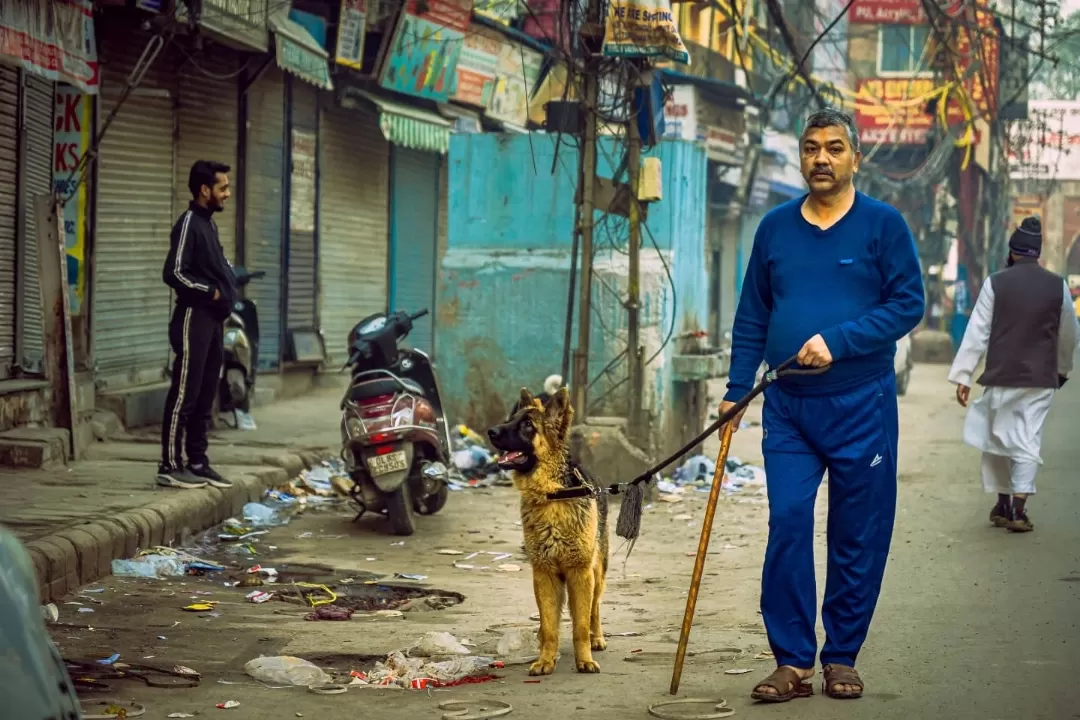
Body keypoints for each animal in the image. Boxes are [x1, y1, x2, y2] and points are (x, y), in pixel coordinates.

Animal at [488, 388, 609, 677]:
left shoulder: (580, 574)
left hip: (597, 574)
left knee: (595, 609)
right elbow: (550, 624)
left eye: (527, 425)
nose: (491, 431)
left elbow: (580, 626)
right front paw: (545, 659)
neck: (551, 494)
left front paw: (584, 659)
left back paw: (597, 637)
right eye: (511, 419)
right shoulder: (544, 575)